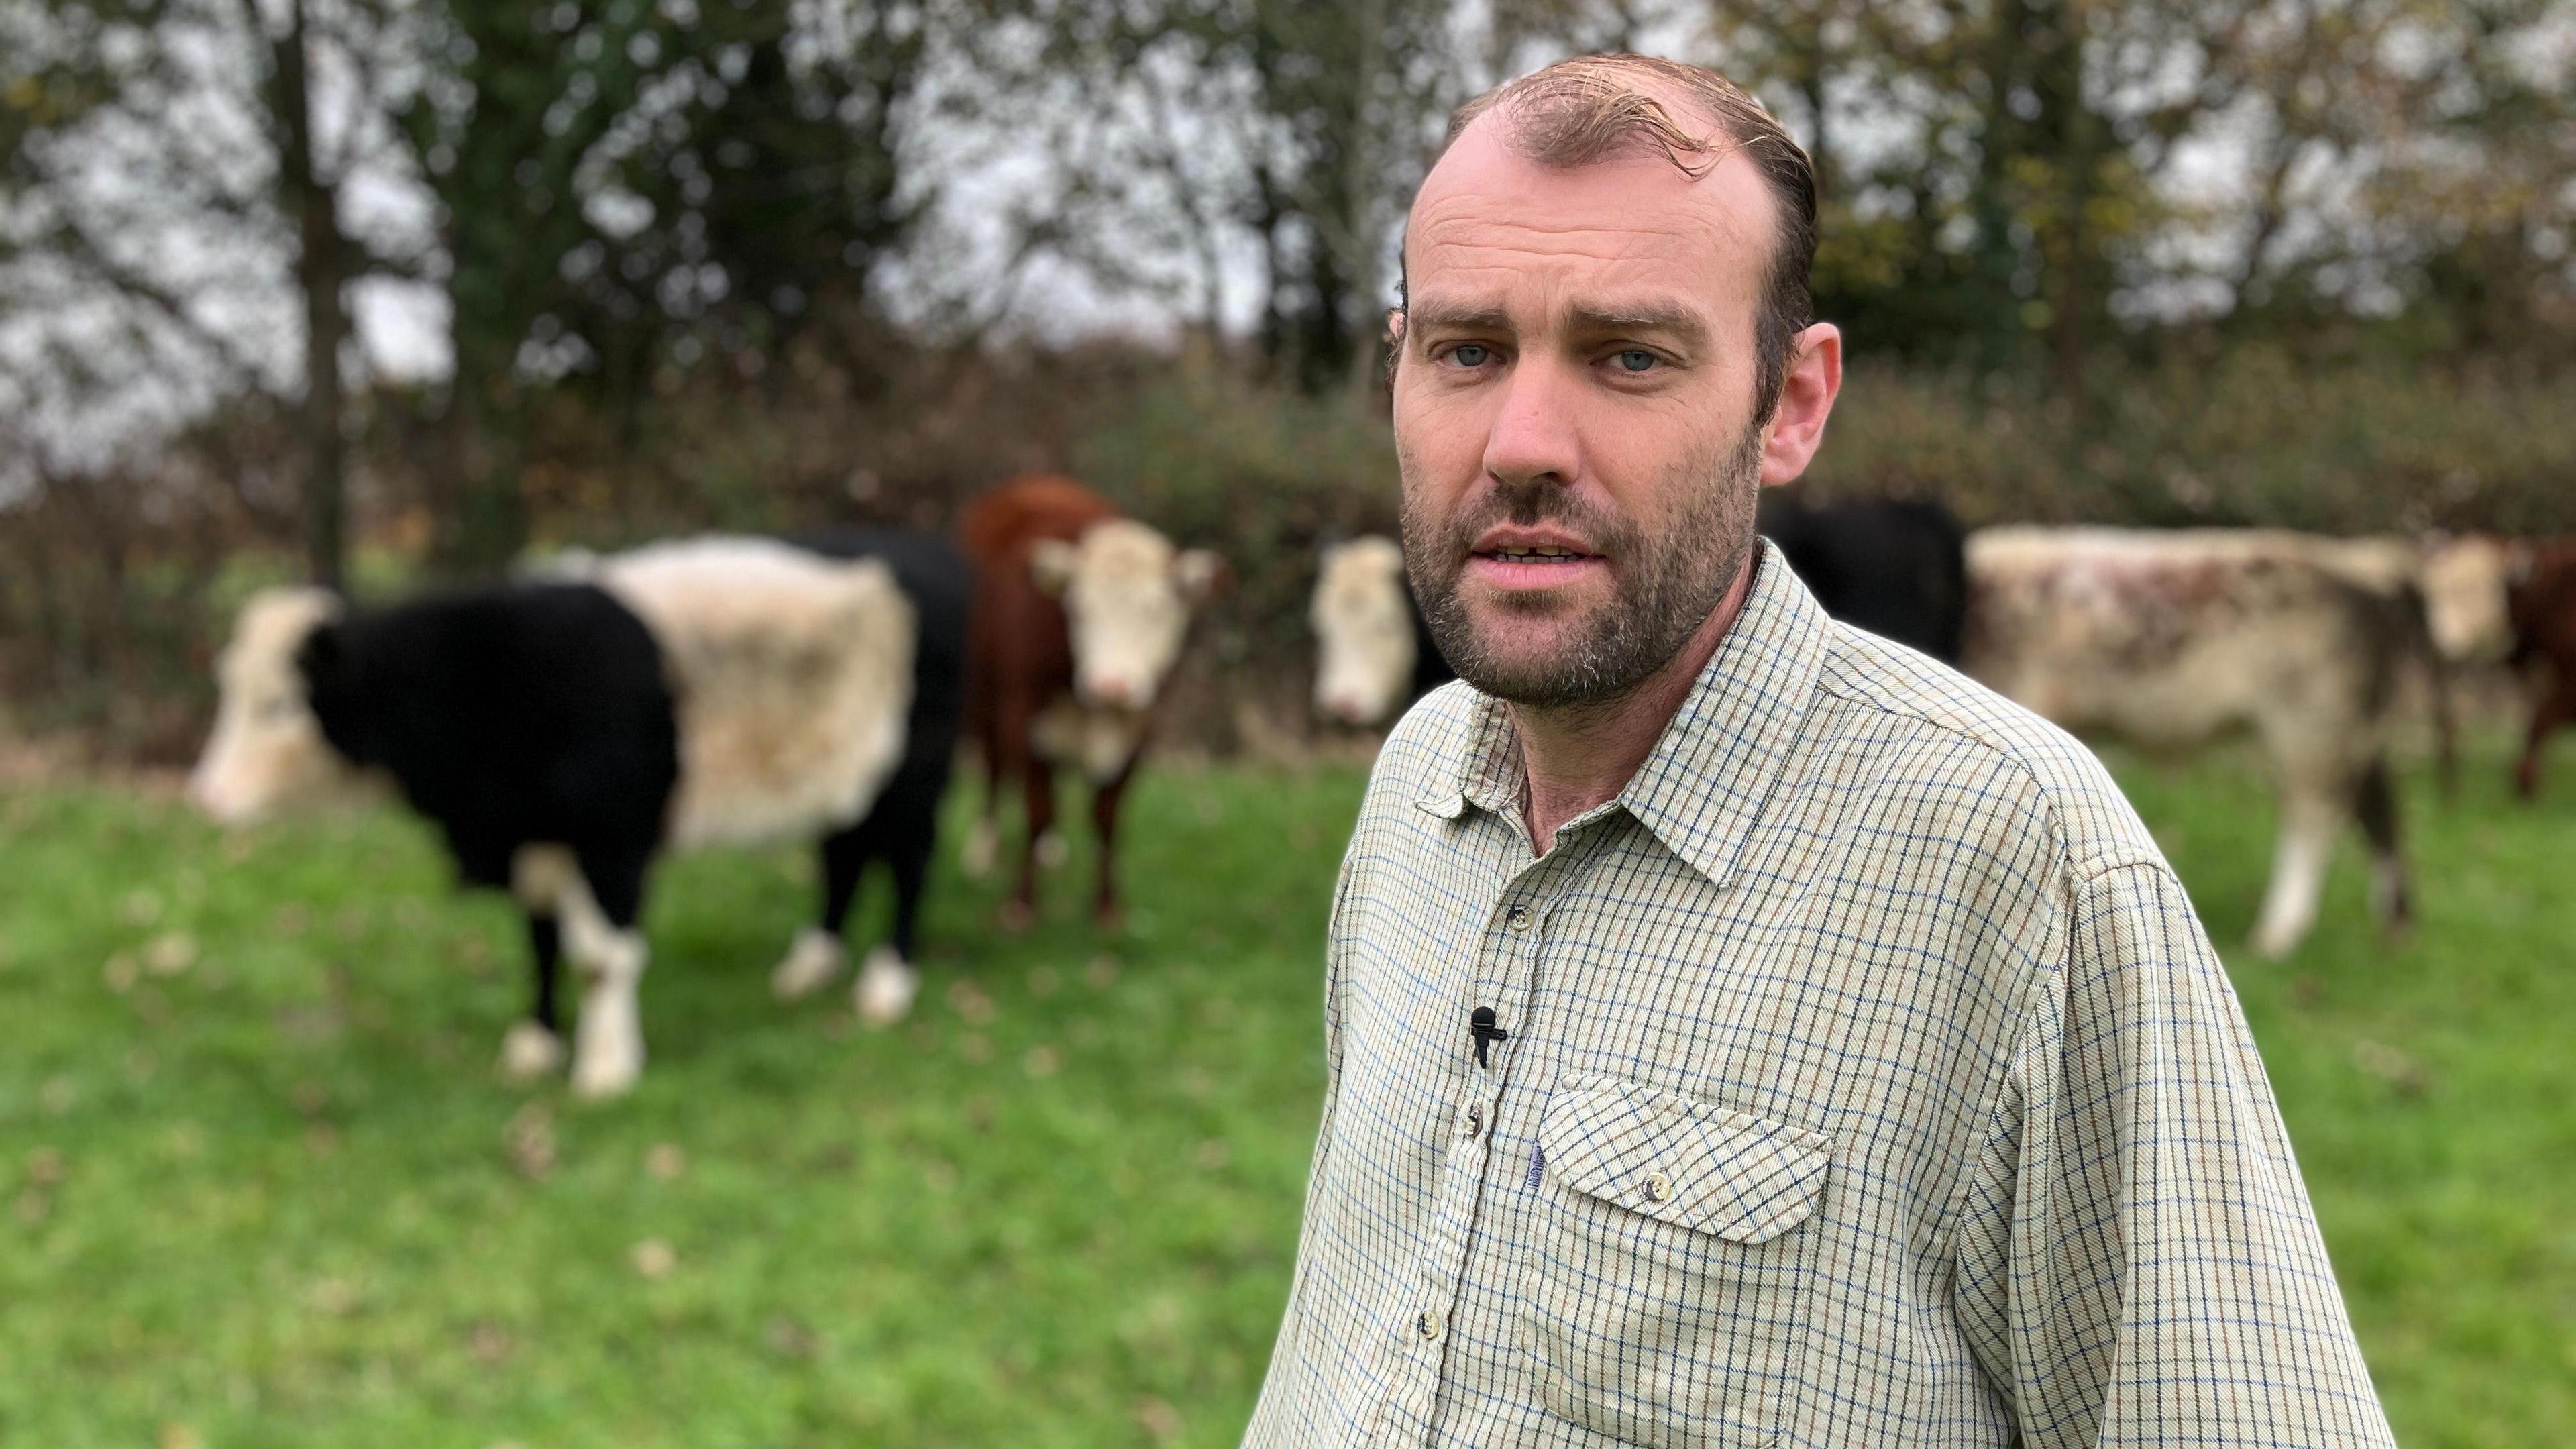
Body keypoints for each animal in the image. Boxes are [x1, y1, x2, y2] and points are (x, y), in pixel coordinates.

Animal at [191, 536, 953, 1087]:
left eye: (279, 705)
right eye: (227, 687)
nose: (206, 796)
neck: (489, 675)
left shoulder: (612, 840)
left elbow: (599, 958)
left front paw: (606, 1066)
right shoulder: (535, 839)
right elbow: (540, 940)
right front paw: (537, 1042)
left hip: (911, 780)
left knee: (910, 867)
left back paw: (889, 980)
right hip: (849, 781)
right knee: (845, 856)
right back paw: (813, 963)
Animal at [958, 474, 1226, 922]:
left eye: (1156, 610)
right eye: (1081, 609)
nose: (1112, 684)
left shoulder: (1138, 735)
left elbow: (1106, 818)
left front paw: (1106, 907)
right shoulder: (1025, 723)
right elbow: (1037, 810)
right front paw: (1022, 904)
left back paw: (1051, 850)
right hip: (982, 697)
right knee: (995, 770)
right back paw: (984, 849)